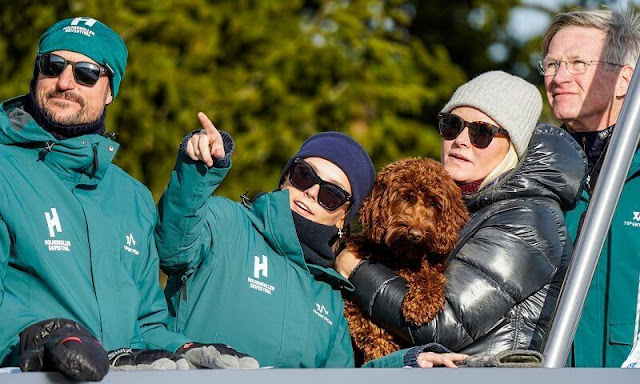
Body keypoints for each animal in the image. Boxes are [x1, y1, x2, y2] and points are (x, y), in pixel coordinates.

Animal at [344, 156, 470, 364]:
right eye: (405, 197)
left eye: (433, 203)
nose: (415, 234)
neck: (404, 255)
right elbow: (366, 327)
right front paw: (384, 351)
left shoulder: (433, 267)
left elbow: (431, 277)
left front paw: (420, 304)